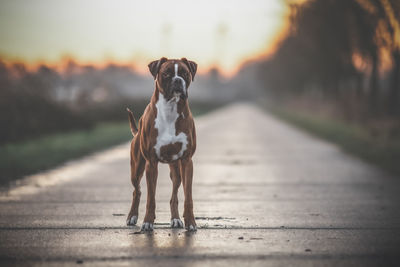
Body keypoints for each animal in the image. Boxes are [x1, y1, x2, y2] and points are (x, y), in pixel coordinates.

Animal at [126, 57, 198, 231]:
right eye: (166, 73)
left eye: (185, 73)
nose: (178, 80)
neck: (170, 109)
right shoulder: (151, 164)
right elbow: (151, 198)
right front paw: (147, 222)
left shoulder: (187, 162)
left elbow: (188, 197)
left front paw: (190, 222)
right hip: (136, 169)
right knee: (137, 191)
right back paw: (132, 217)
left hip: (176, 171)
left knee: (174, 195)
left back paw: (176, 219)